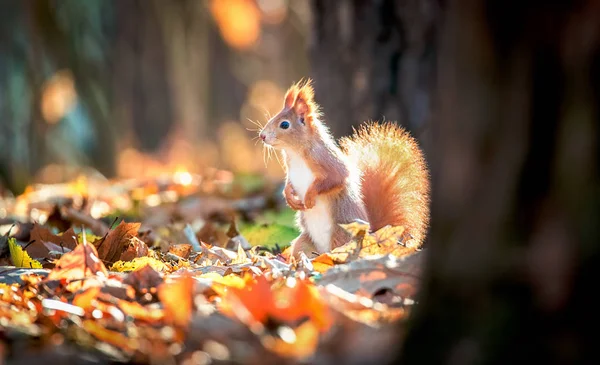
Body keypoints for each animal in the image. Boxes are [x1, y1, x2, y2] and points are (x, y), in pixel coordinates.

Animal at [258, 78, 432, 258]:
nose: (262, 136)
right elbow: (288, 184)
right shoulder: (291, 169)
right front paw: (289, 197)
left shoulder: (328, 160)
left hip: (341, 235)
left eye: (285, 124)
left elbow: (336, 178)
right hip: (305, 242)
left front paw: (310, 196)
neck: (295, 152)